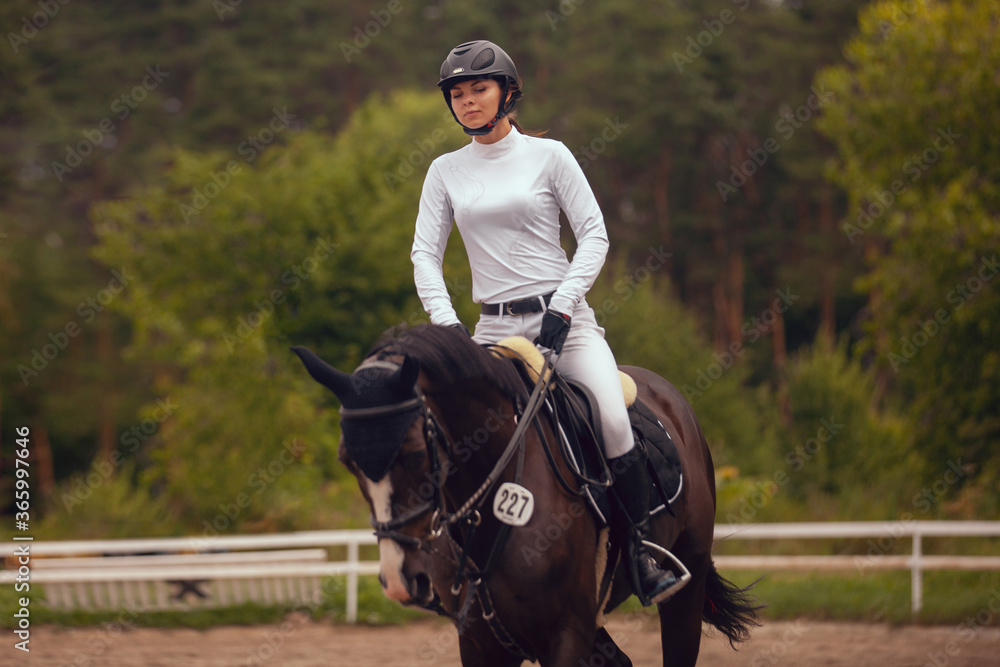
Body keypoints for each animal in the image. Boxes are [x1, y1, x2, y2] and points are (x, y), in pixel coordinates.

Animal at [292, 322, 760, 664]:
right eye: (347, 461)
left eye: (413, 453)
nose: (400, 581)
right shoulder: (480, 643)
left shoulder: (566, 635)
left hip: (686, 586)